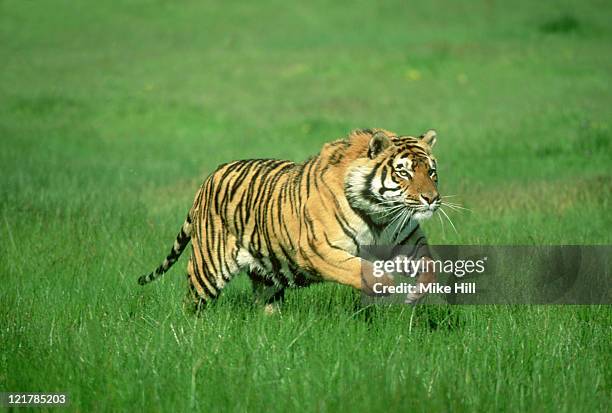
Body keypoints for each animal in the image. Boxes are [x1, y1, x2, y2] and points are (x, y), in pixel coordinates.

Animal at [136, 127, 440, 310]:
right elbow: (358, 268)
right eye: (404, 173)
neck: (380, 214)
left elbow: (430, 265)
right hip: (207, 269)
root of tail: (209, 179)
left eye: (431, 172)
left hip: (267, 277)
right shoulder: (318, 250)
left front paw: (415, 294)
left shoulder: (408, 243)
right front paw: (386, 284)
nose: (431, 198)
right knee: (192, 303)